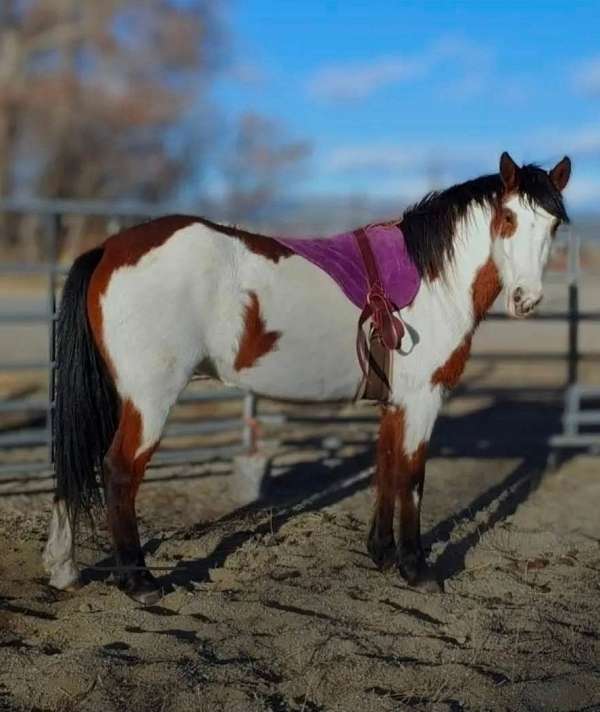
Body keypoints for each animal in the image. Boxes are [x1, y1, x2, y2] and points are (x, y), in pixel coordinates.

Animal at [42, 152, 571, 604]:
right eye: (508, 219)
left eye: (552, 225)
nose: (526, 299)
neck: (432, 279)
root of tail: (109, 247)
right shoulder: (423, 400)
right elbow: (413, 476)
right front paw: (416, 570)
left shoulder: (395, 404)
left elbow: (386, 469)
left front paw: (381, 554)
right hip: (151, 399)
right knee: (119, 470)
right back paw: (139, 582)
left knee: (76, 464)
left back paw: (64, 569)